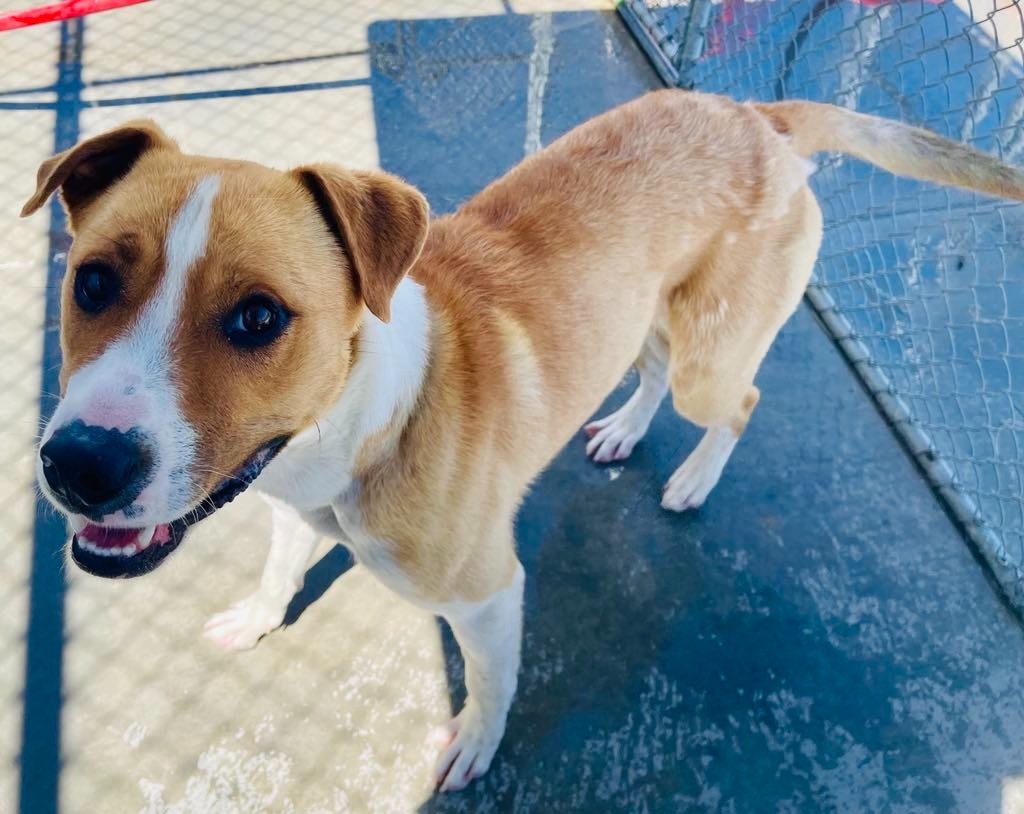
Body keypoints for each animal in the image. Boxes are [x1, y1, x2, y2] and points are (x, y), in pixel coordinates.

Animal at [24, 87, 1024, 790]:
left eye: (259, 317)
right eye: (93, 281)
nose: (79, 467)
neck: (366, 423)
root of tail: (759, 116)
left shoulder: (489, 595)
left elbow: (491, 683)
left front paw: (472, 745)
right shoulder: (287, 502)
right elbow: (279, 564)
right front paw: (260, 613)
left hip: (711, 358)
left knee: (738, 400)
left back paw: (695, 479)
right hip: (643, 312)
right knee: (648, 371)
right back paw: (624, 430)